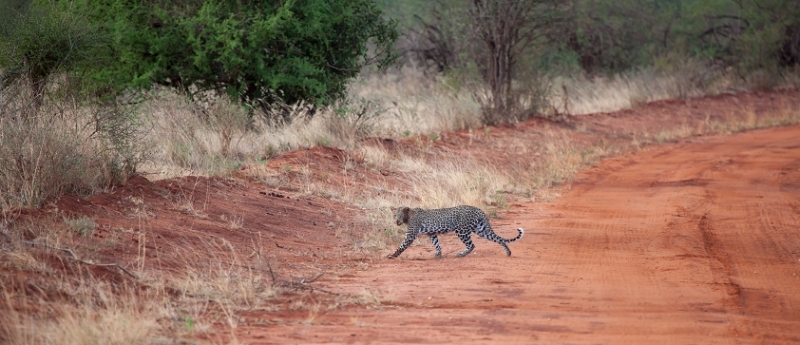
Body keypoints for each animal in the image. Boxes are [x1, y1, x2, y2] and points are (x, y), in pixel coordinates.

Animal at [388, 204, 524, 258]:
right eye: (394, 215)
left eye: (400, 215)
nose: (396, 221)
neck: (408, 217)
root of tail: (478, 209)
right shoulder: (431, 234)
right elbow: (436, 244)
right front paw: (438, 254)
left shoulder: (411, 234)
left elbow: (402, 246)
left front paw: (392, 256)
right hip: (480, 229)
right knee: (498, 239)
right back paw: (508, 252)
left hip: (462, 230)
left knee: (472, 245)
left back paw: (461, 254)